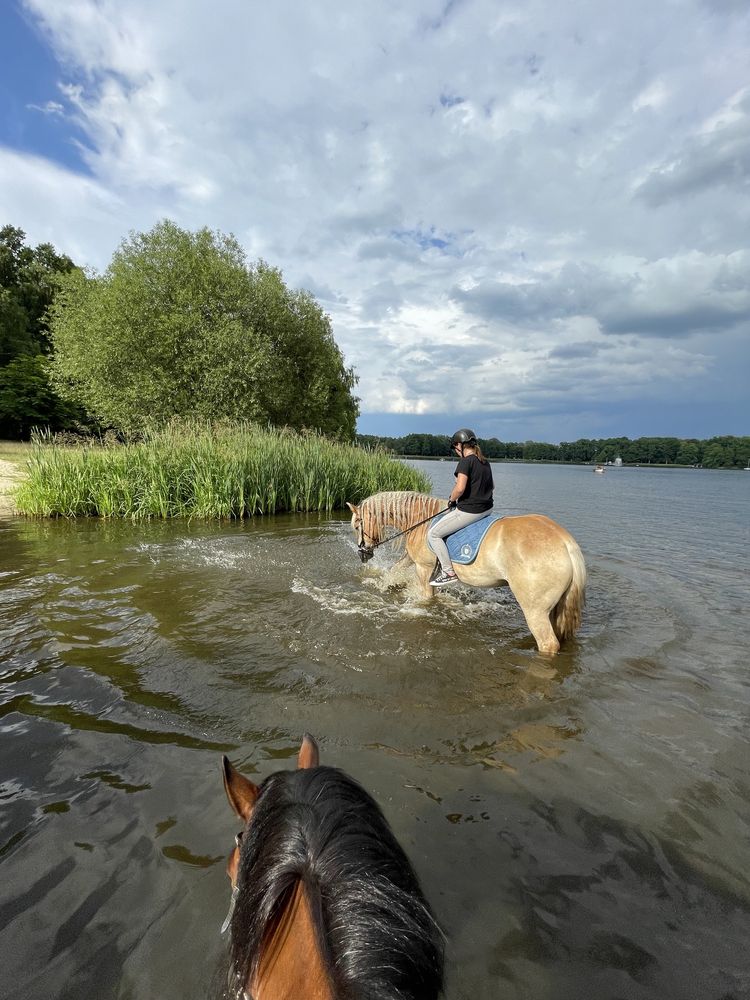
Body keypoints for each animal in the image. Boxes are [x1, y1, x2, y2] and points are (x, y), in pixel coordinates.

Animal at [350, 492, 592, 656]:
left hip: (535, 611)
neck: (421, 520)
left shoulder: (423, 567)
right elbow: (395, 571)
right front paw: (386, 584)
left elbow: (426, 596)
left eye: (356, 526)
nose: (363, 554)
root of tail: (566, 543)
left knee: (548, 643)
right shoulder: (412, 559)